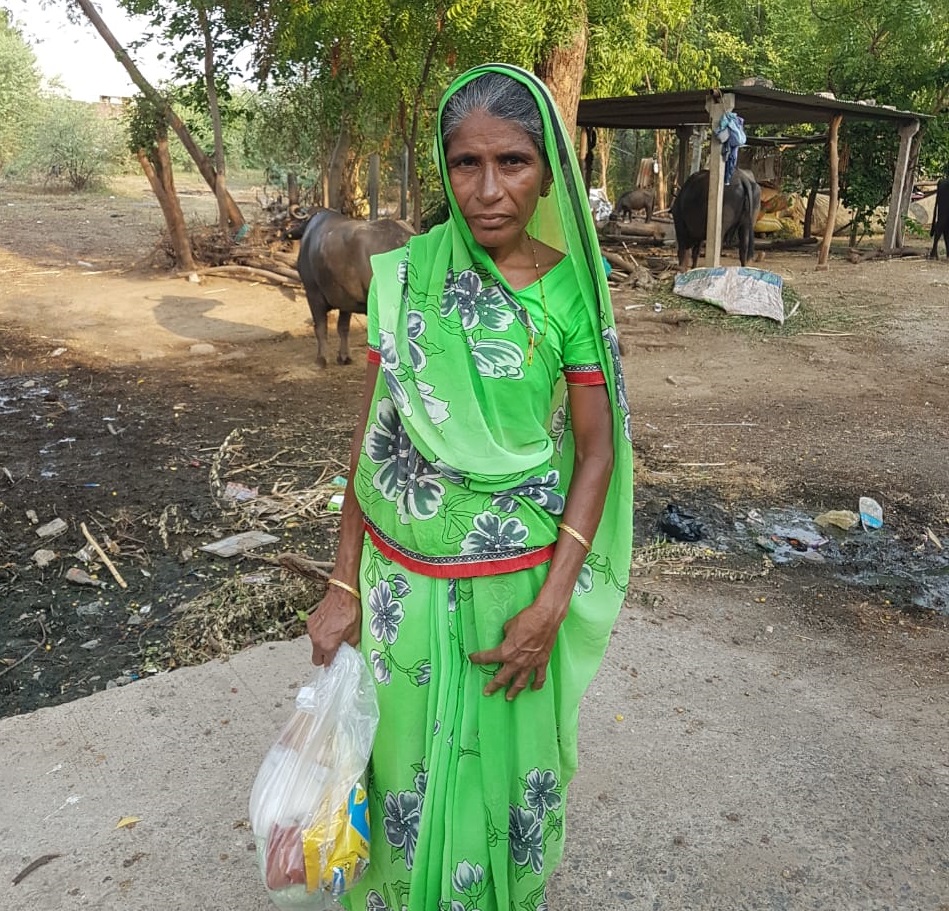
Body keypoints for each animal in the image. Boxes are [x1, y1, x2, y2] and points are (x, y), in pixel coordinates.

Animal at [300, 210, 412, 366]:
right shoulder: (346, 301)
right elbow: (343, 328)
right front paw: (344, 356)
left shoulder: (313, 293)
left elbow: (321, 328)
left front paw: (321, 359)